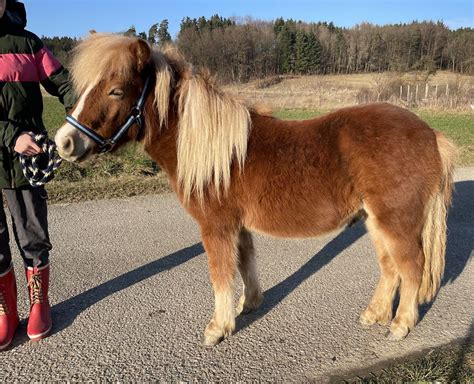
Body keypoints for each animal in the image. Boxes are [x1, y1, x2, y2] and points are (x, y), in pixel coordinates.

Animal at [54, 34, 456, 346]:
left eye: (115, 90)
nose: (64, 142)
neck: (211, 149)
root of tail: (430, 134)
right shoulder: (239, 226)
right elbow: (245, 263)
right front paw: (248, 305)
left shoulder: (216, 226)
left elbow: (220, 273)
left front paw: (217, 329)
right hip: (374, 220)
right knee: (390, 268)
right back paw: (374, 315)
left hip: (396, 221)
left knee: (412, 266)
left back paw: (400, 326)